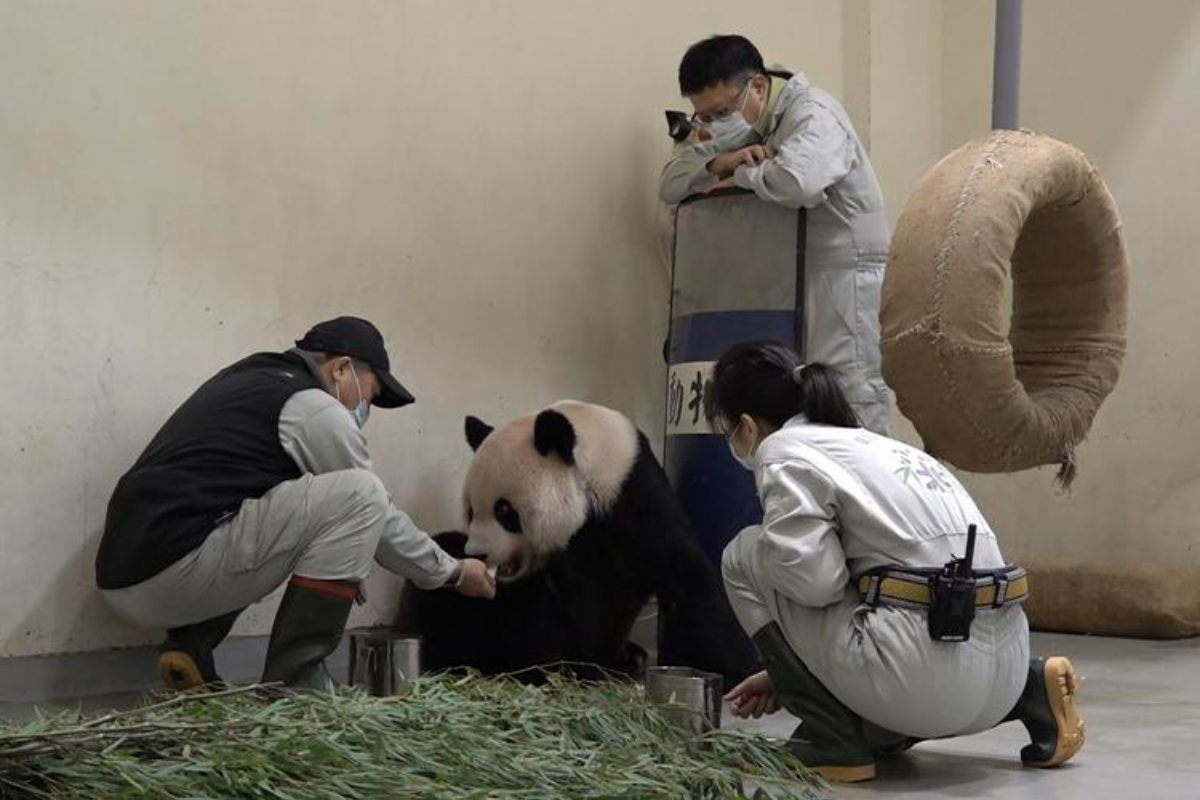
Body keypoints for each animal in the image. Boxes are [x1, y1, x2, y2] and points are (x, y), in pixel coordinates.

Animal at [395, 400, 759, 685]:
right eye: (471, 511)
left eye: (505, 511)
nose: (478, 554)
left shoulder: (633, 499)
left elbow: (683, 572)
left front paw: (743, 671)